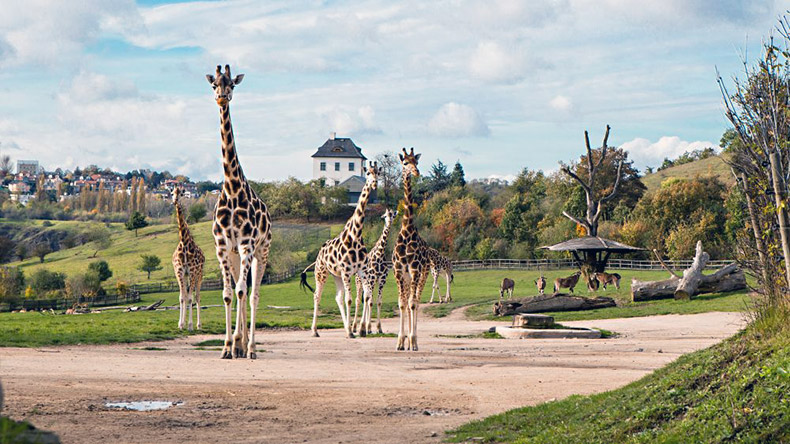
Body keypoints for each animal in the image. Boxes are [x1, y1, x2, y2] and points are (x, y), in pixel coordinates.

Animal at [300, 162, 380, 336]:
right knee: (317, 296)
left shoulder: (361, 271)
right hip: (321, 272)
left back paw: (345, 328)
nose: (374, 183)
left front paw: (360, 330)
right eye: (368, 173)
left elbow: (365, 297)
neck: (355, 235)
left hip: (335, 275)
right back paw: (315, 330)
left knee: (338, 297)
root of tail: (319, 254)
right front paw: (352, 331)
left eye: (378, 173)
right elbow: (349, 299)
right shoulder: (347, 271)